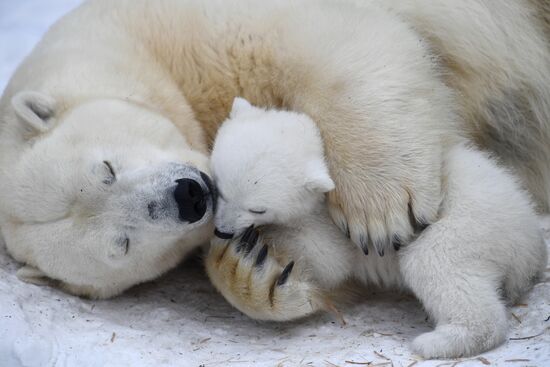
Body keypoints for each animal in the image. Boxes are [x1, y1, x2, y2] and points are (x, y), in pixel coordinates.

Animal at [0, 0, 548, 348]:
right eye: (121, 244)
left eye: (105, 169)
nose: (189, 197)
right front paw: (257, 264)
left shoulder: (187, 26)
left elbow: (332, 38)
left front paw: (382, 211)